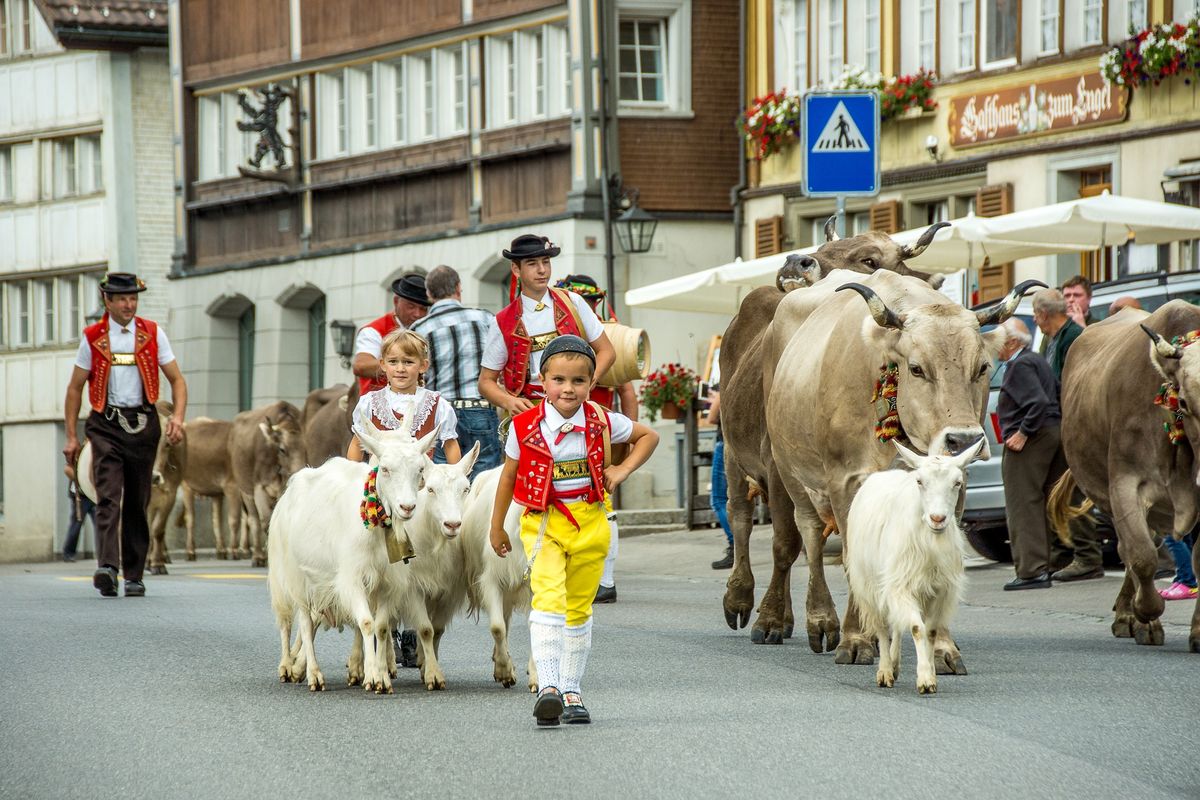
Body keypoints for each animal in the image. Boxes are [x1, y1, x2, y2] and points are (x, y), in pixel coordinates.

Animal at [226, 400, 307, 568]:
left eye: (305, 447)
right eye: (282, 449)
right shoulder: (259, 488)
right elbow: (265, 521)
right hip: (245, 491)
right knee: (254, 520)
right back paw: (257, 555)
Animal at [270, 424, 439, 695]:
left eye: (419, 470)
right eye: (385, 469)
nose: (407, 507)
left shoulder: (387, 583)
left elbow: (380, 627)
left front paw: (380, 675)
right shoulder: (351, 579)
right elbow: (367, 623)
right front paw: (373, 676)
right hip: (295, 576)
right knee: (300, 623)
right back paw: (307, 673)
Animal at [844, 438, 984, 695]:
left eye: (957, 482)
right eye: (920, 481)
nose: (938, 519)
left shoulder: (938, 590)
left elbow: (929, 631)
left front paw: (930, 673)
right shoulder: (901, 586)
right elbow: (917, 628)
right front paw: (925, 680)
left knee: (897, 624)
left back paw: (895, 664)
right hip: (870, 584)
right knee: (882, 625)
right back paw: (885, 671)